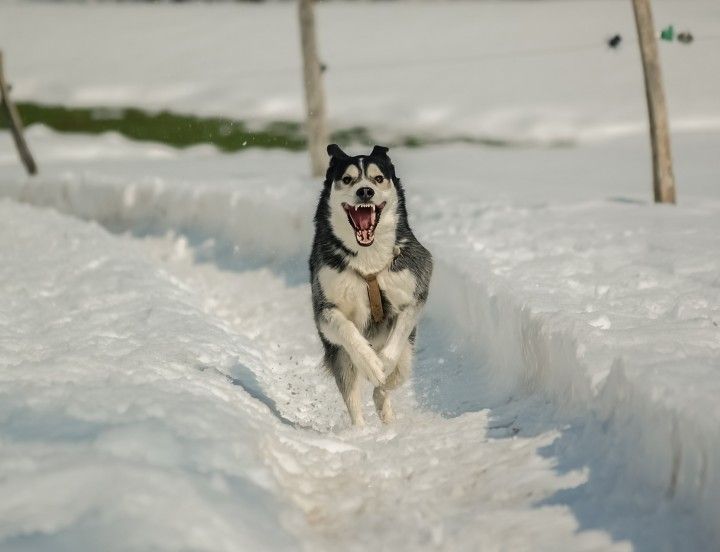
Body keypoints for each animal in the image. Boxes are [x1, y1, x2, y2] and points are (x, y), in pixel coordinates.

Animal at [308, 144, 430, 424]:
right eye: (347, 179)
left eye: (378, 178)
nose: (365, 191)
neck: (368, 262)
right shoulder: (325, 308)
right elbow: (346, 329)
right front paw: (371, 363)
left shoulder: (414, 288)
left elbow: (399, 333)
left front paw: (383, 363)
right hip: (340, 357)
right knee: (353, 397)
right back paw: (362, 430)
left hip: (408, 352)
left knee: (395, 376)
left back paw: (386, 411)